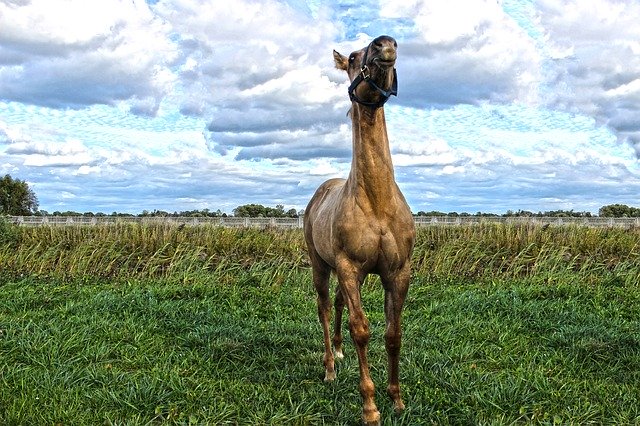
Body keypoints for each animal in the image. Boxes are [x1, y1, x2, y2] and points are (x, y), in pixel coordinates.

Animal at [304, 36, 416, 426]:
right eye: (353, 58)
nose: (385, 45)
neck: (377, 201)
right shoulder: (349, 268)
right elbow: (362, 330)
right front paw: (370, 406)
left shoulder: (397, 272)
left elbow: (394, 333)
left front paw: (396, 399)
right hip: (321, 266)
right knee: (324, 307)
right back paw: (329, 367)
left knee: (336, 303)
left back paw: (338, 353)